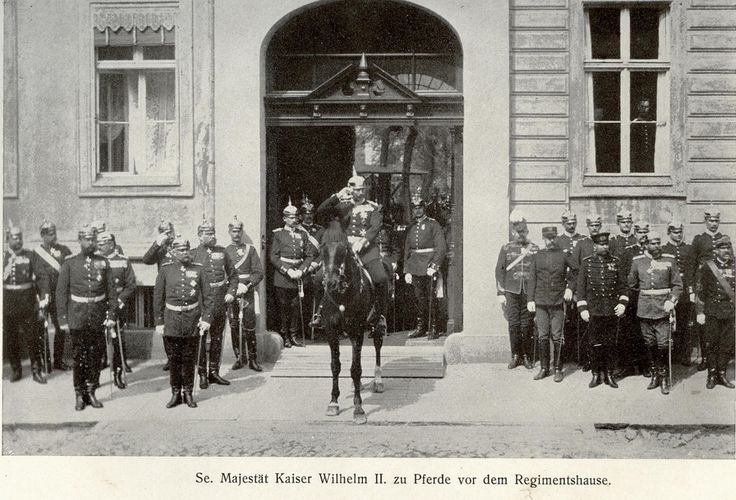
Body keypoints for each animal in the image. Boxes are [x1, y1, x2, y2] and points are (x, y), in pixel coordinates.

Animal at [324, 238, 388, 422]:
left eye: (343, 251)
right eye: (323, 251)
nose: (331, 283)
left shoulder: (356, 333)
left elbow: (356, 369)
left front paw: (358, 409)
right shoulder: (331, 332)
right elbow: (335, 366)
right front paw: (333, 402)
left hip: (377, 327)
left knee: (377, 347)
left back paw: (378, 381)